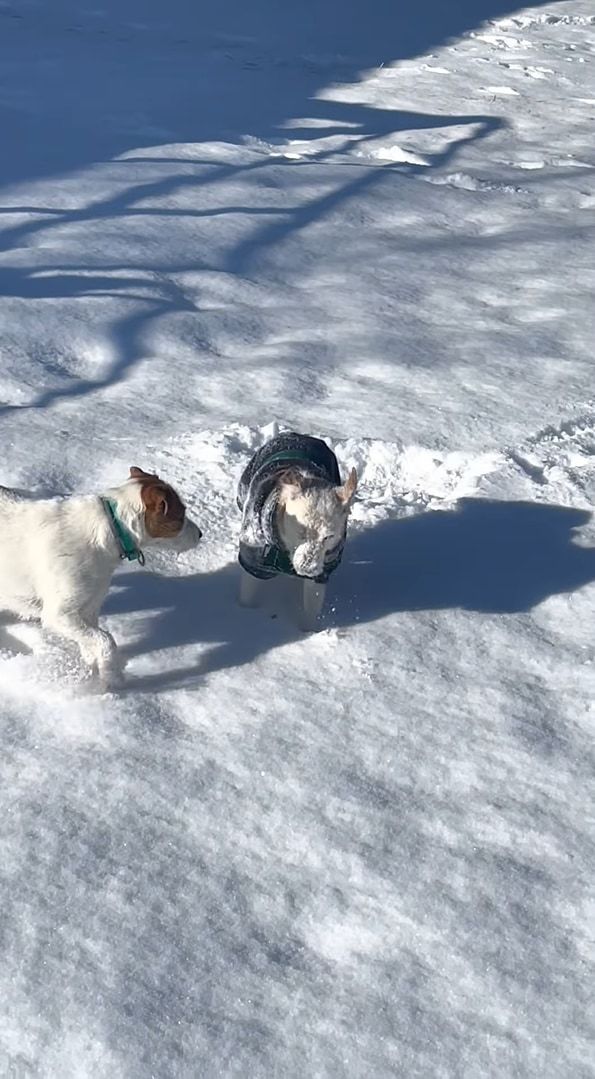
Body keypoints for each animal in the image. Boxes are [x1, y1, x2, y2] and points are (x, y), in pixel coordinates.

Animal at [0, 466, 203, 686]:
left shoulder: (88, 608)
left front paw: (100, 673)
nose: (201, 534)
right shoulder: (59, 615)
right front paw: (112, 680)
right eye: (181, 515)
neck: (112, 527)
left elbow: (92, 643)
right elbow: (106, 640)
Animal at [236, 431, 358, 630]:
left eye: (329, 536)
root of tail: (302, 436)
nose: (308, 568)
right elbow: (248, 593)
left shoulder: (323, 570)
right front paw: (244, 614)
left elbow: (312, 606)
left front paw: (308, 632)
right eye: (301, 531)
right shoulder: (254, 561)